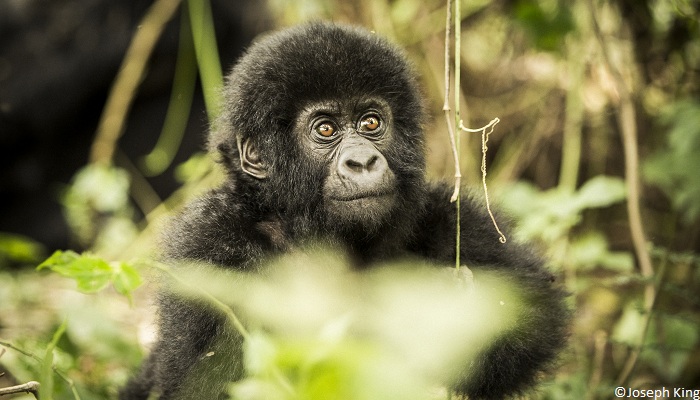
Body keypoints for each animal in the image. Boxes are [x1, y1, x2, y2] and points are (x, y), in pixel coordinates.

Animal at [119, 22, 568, 400]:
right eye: (326, 129)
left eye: (370, 123)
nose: (363, 162)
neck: (303, 226)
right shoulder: (210, 243)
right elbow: (216, 382)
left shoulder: (448, 216)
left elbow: (535, 316)